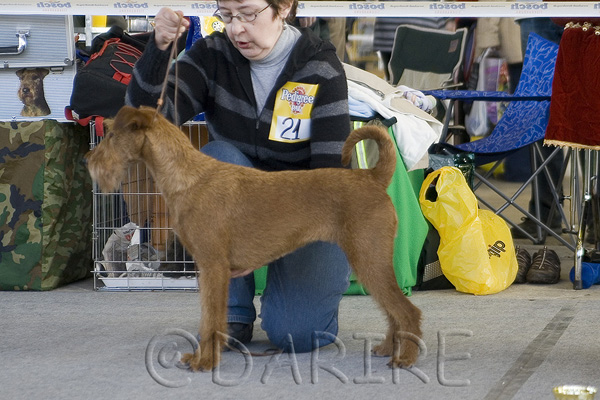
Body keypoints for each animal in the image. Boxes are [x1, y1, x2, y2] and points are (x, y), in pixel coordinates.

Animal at [86, 106, 422, 372]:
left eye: (112, 135)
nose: (89, 159)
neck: (188, 178)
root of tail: (372, 177)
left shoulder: (213, 268)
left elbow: (211, 320)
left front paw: (205, 362)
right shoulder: (209, 270)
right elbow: (210, 319)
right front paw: (203, 356)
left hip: (368, 258)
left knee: (407, 310)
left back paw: (405, 358)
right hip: (372, 261)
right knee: (393, 310)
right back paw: (388, 348)